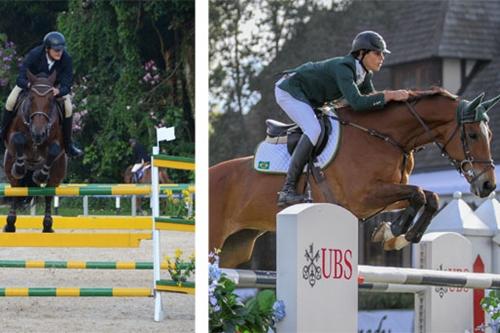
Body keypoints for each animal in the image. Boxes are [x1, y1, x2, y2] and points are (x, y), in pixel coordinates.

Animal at [2, 70, 67, 231]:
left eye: (51, 100)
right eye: (31, 98)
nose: (38, 133)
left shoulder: (56, 143)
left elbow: (54, 150)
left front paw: (40, 176)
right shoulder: (12, 138)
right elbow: (18, 139)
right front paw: (19, 168)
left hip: (58, 172)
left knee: (49, 193)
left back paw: (47, 225)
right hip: (9, 166)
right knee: (16, 190)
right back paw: (10, 224)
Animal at [211, 87, 500, 268]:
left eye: (490, 135)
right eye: (473, 135)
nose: (488, 185)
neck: (385, 136)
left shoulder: (386, 191)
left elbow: (429, 197)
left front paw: (396, 235)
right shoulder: (363, 197)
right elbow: (418, 194)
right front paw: (395, 231)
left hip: (234, 247)